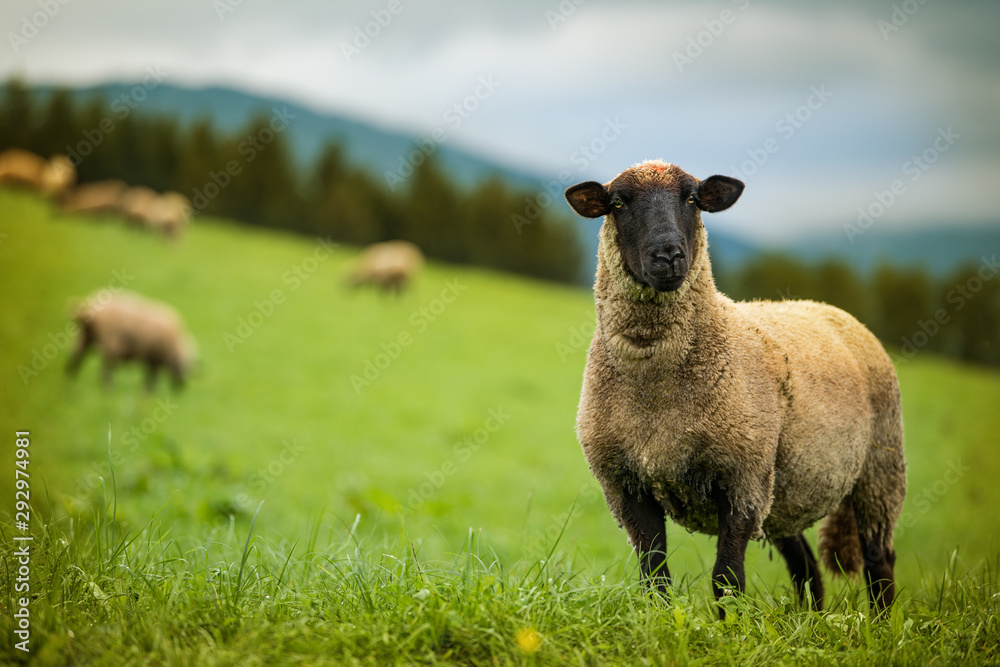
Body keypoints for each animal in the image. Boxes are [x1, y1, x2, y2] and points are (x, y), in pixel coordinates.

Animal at [66, 290, 198, 391]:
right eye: (185, 368)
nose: (180, 391)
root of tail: (87, 308)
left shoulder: (152, 359)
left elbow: (151, 379)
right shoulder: (152, 358)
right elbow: (151, 379)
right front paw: (149, 392)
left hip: (83, 336)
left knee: (75, 359)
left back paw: (70, 382)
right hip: (109, 340)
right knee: (106, 368)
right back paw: (107, 389)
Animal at [564, 160, 906, 619]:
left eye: (692, 199)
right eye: (618, 203)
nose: (669, 256)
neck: (655, 390)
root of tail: (834, 311)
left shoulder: (742, 477)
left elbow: (726, 578)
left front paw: (726, 628)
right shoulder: (626, 484)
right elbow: (654, 575)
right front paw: (662, 620)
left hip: (878, 468)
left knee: (878, 558)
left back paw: (882, 624)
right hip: (784, 493)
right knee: (805, 563)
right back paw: (811, 621)